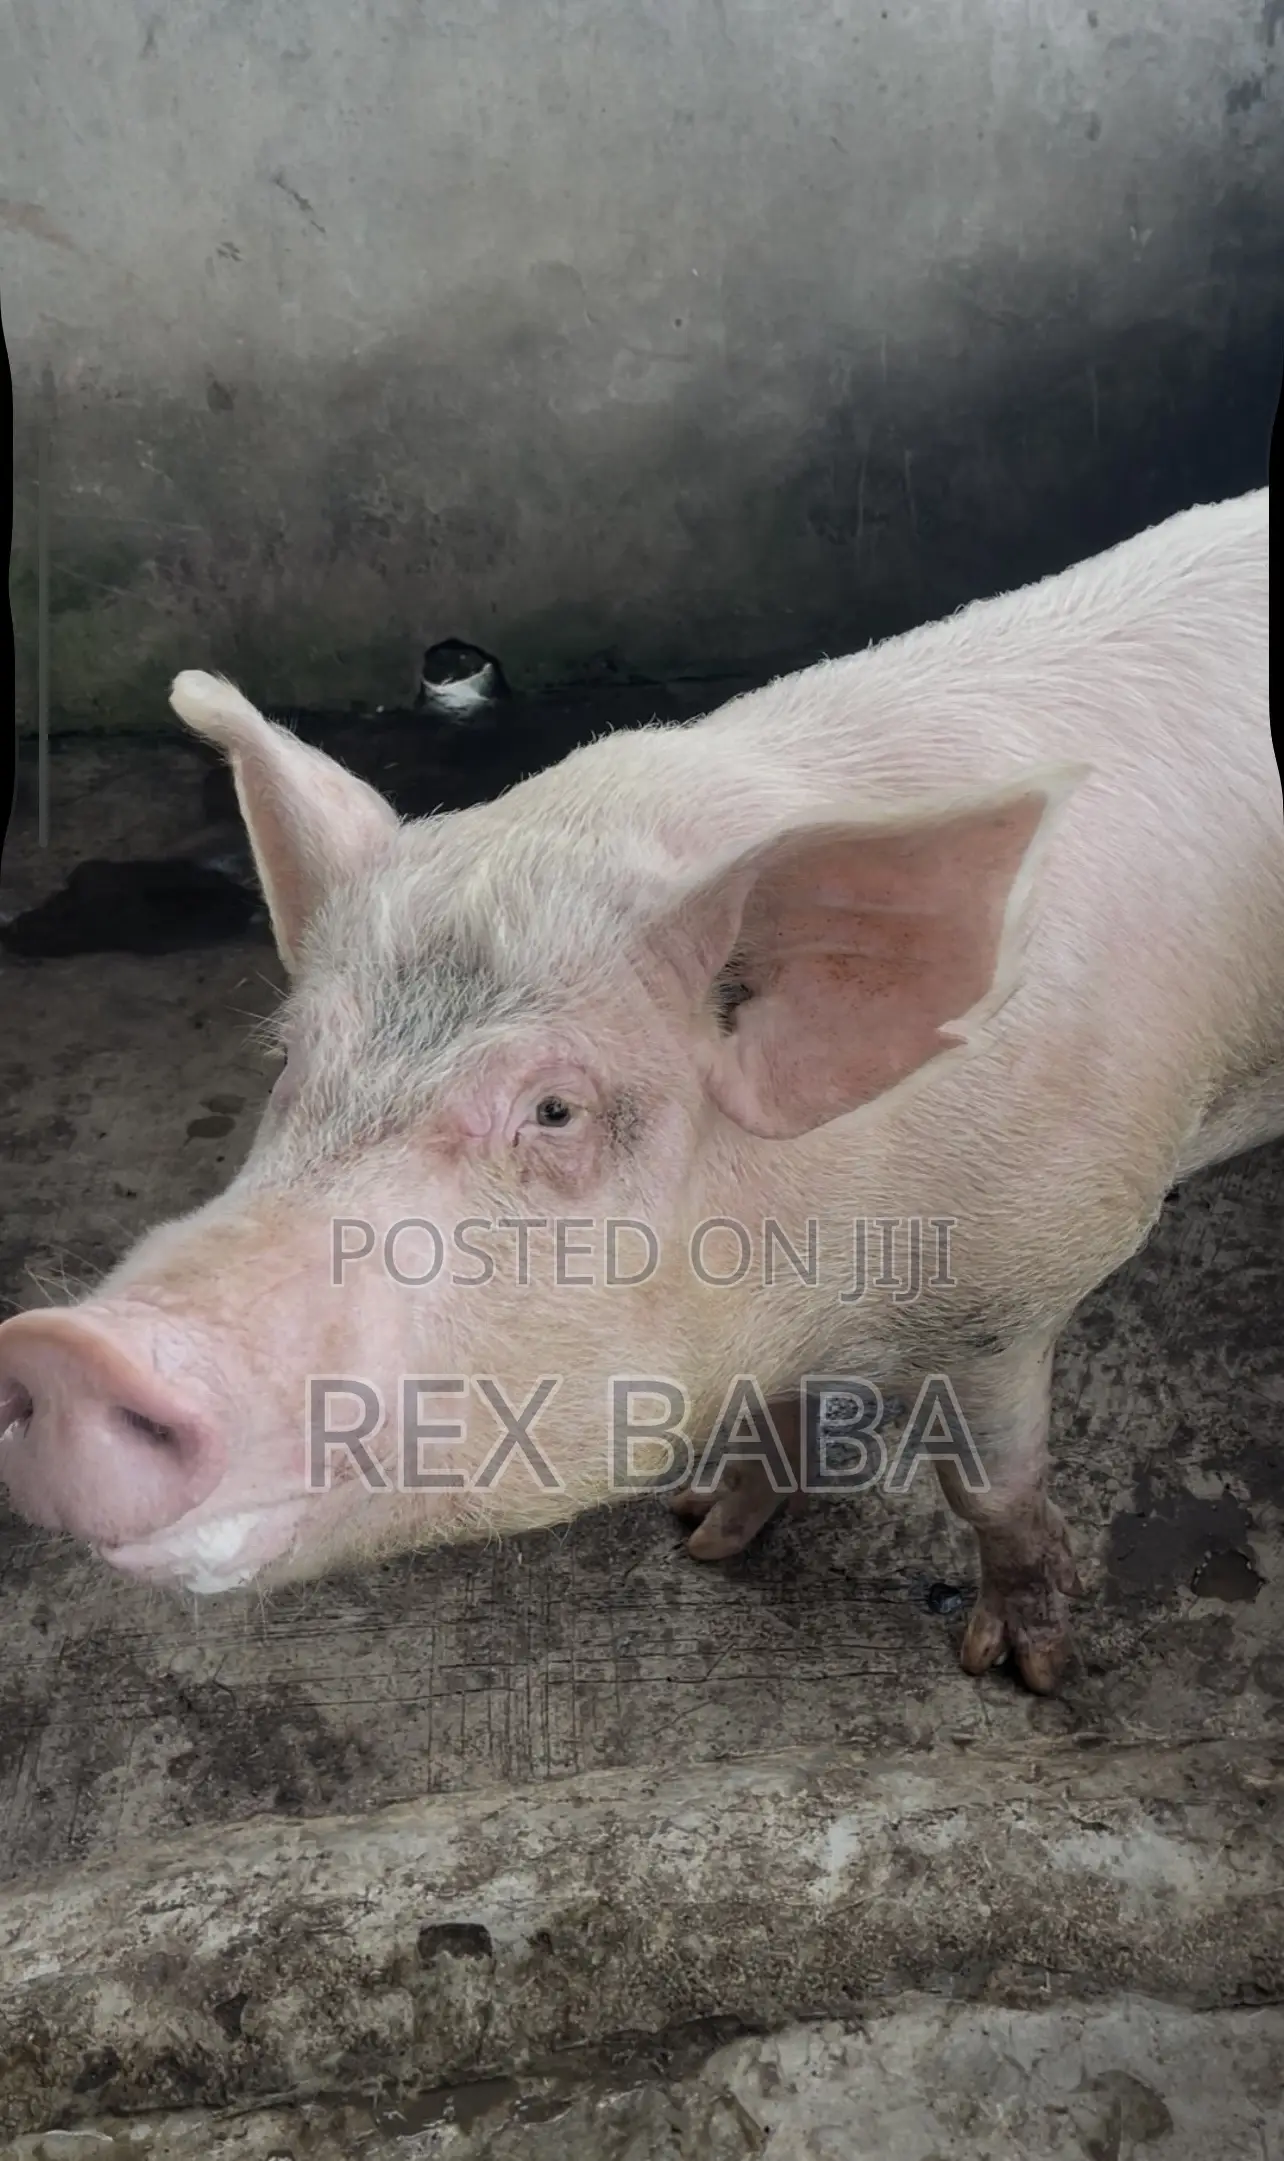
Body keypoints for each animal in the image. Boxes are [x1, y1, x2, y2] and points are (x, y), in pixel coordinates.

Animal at [1, 488, 1277, 1695]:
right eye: (291, 1056)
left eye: (555, 1110)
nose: (63, 1347)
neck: (832, 1272)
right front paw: (703, 1534)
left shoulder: (1023, 1284)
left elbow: (992, 1489)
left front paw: (1024, 1670)